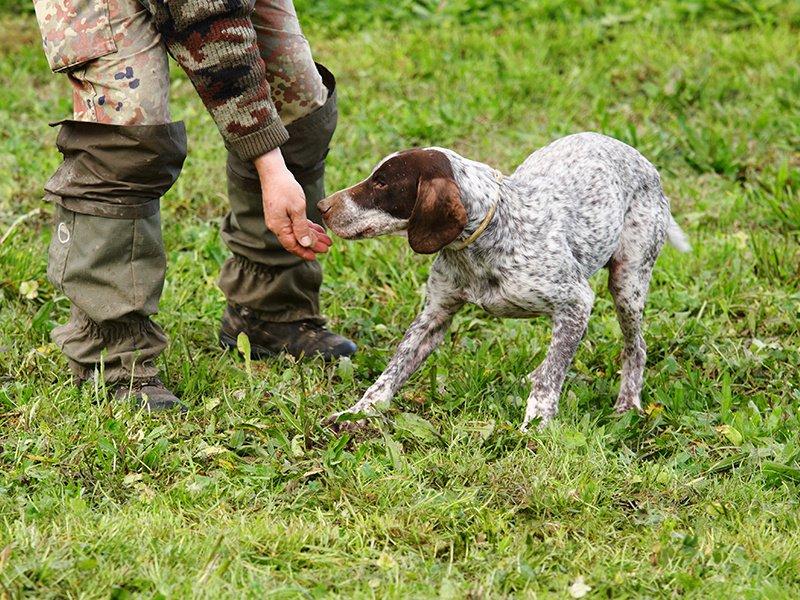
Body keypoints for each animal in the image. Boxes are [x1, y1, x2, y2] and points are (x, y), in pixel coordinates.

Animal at [318, 132, 688, 432]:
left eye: (382, 184)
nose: (322, 206)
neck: (484, 241)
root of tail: (641, 159)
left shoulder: (576, 303)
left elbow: (551, 378)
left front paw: (536, 424)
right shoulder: (434, 315)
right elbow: (392, 371)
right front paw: (359, 411)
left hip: (627, 283)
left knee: (635, 347)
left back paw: (628, 403)